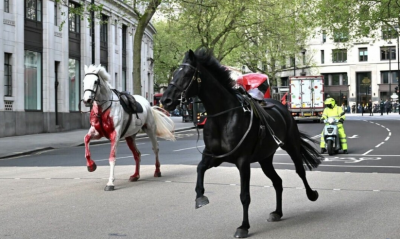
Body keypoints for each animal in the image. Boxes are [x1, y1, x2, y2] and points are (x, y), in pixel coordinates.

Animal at [160, 48, 322, 237]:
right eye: (174, 74)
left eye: (186, 74)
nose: (165, 100)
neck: (223, 117)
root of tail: (281, 106)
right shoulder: (214, 157)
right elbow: (199, 168)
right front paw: (200, 197)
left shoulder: (243, 161)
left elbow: (244, 195)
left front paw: (243, 226)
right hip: (265, 158)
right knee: (278, 182)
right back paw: (277, 212)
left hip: (291, 145)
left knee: (300, 170)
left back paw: (312, 194)